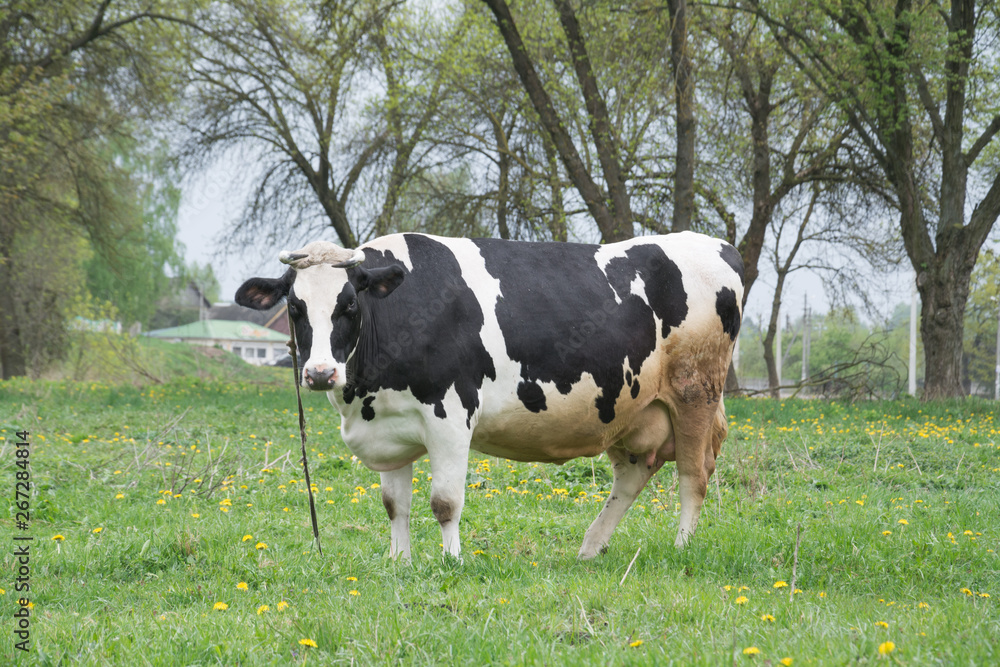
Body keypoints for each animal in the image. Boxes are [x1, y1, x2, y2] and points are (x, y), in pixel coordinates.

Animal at [238, 232, 744, 560]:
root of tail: (715, 243)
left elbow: (444, 502)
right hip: (630, 407)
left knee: (693, 475)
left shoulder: (449, 415)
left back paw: (681, 548)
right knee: (633, 476)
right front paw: (398, 562)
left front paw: (452, 562)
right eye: (295, 307)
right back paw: (590, 548)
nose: (320, 372)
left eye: (349, 305)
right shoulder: (389, 425)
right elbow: (395, 505)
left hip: (695, 391)